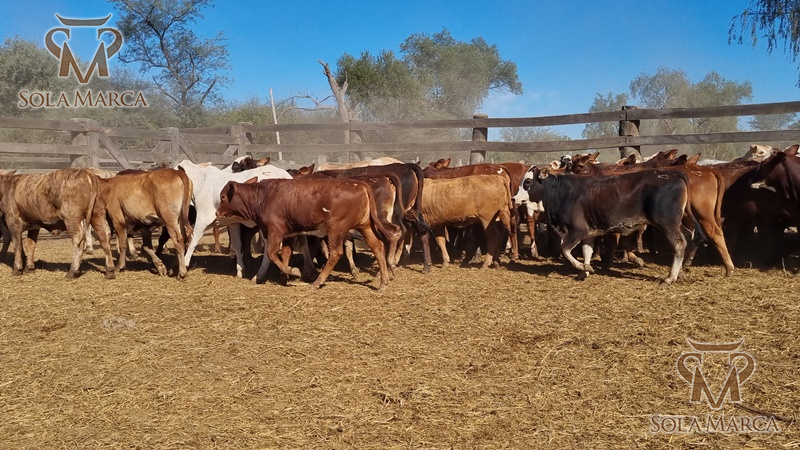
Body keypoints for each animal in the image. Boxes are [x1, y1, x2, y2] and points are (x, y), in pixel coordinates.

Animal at [215, 177, 401, 291]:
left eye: (223, 196)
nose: (217, 213)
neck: (263, 197)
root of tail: (361, 185)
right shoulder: (289, 234)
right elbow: (286, 253)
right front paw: (285, 276)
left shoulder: (275, 231)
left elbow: (272, 253)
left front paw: (294, 272)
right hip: (365, 226)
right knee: (377, 246)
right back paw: (383, 282)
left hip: (336, 229)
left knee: (335, 253)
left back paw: (318, 282)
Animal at [521, 167, 693, 284]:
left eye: (528, 182)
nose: (515, 198)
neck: (562, 192)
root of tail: (673, 174)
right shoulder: (588, 233)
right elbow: (587, 251)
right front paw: (585, 271)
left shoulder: (577, 231)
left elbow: (565, 250)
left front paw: (584, 267)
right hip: (677, 224)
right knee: (688, 236)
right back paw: (680, 272)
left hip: (667, 223)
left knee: (679, 243)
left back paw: (670, 277)